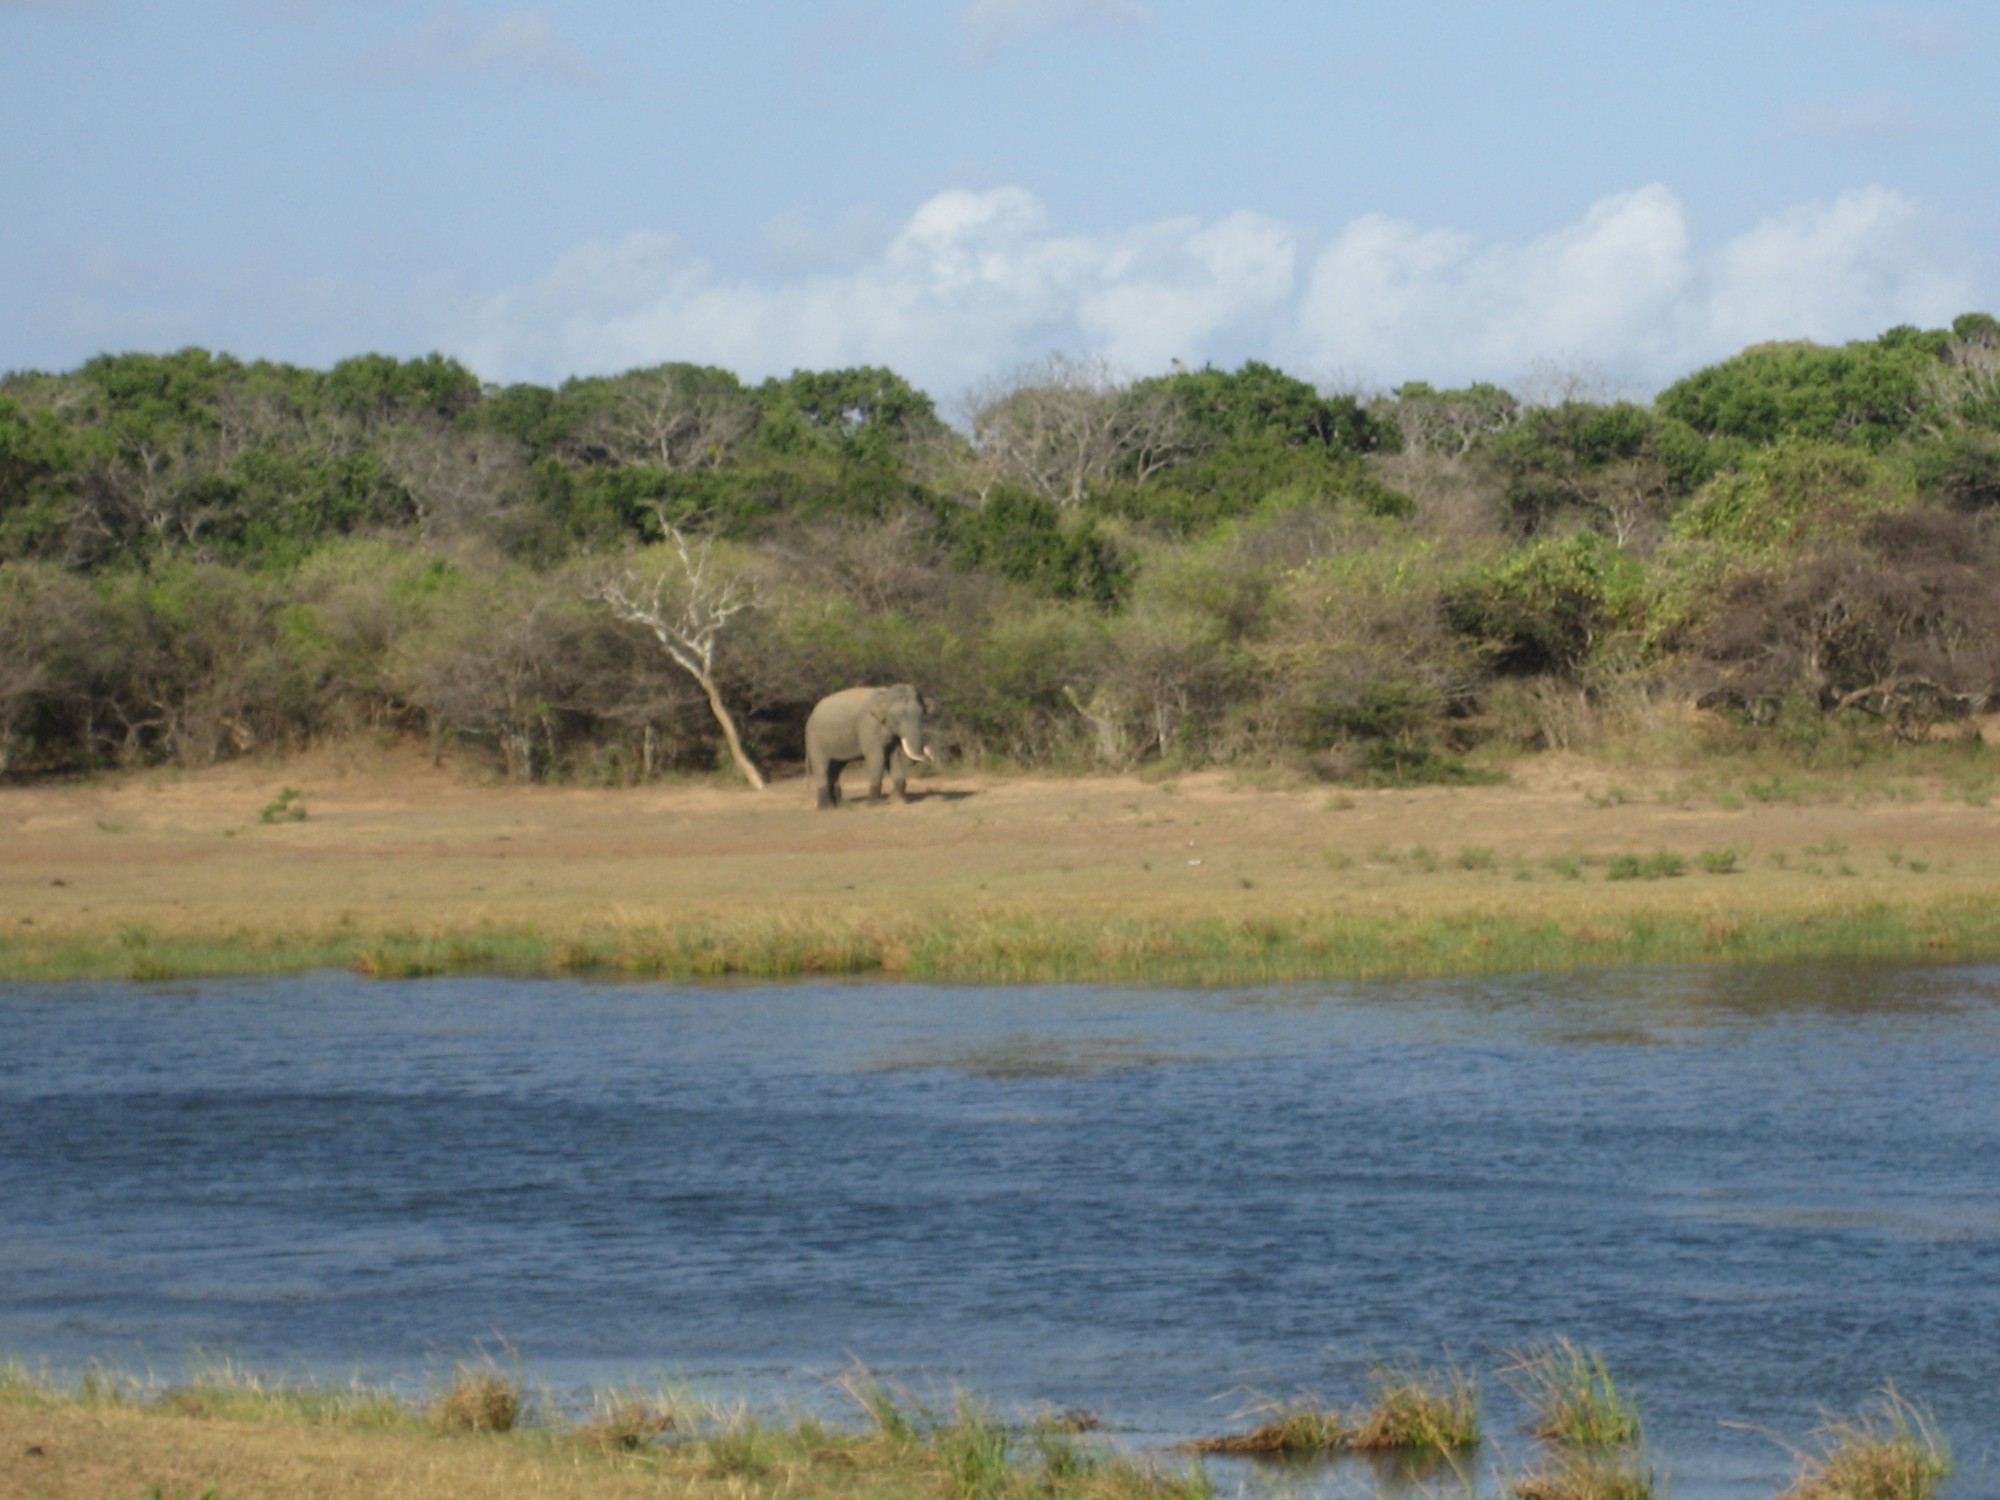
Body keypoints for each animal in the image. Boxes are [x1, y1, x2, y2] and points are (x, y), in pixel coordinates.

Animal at [804, 688, 936, 816]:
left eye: (922, 714)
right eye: (898, 717)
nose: (929, 756)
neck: (886, 693)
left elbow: (892, 757)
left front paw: (897, 801)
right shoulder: (868, 727)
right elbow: (877, 758)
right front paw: (876, 804)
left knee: (836, 767)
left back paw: (839, 804)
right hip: (814, 739)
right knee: (822, 767)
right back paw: (827, 808)